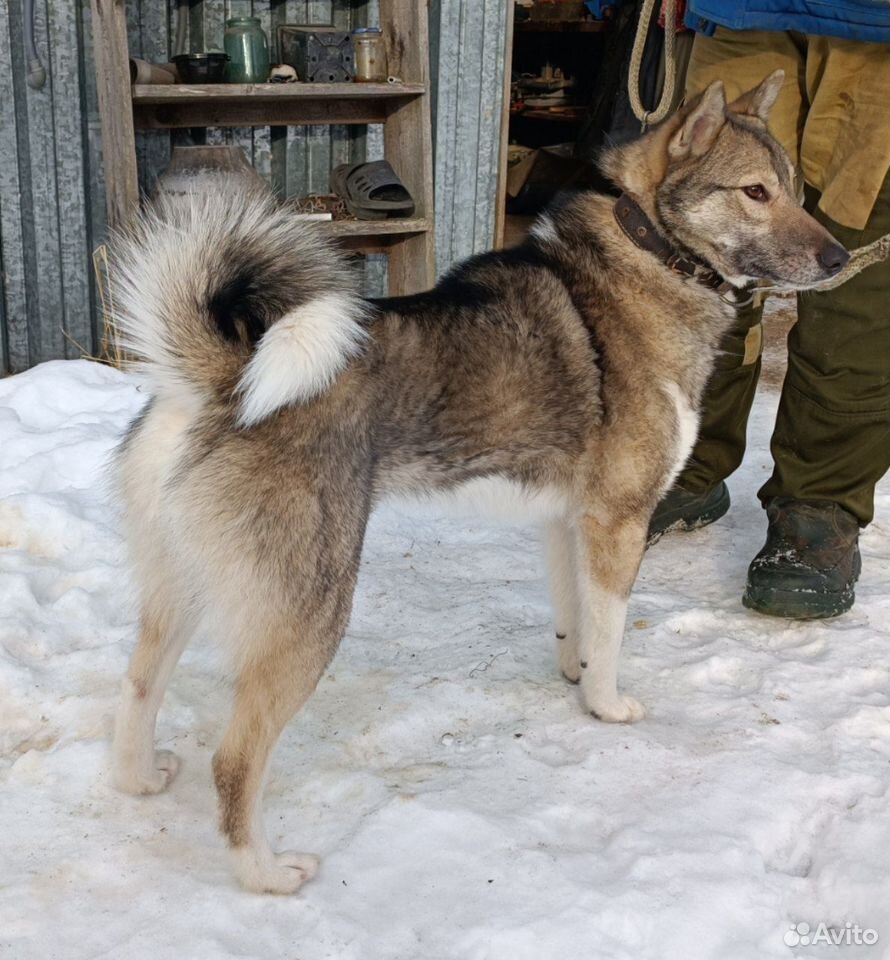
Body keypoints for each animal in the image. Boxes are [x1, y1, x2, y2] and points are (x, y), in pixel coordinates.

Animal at [111, 71, 848, 896]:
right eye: (754, 192)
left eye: (796, 190)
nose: (842, 256)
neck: (649, 253)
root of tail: (222, 381)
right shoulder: (618, 521)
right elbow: (612, 629)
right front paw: (607, 705)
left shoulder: (567, 522)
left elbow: (575, 618)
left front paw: (573, 676)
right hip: (308, 611)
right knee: (235, 760)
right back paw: (266, 873)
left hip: (179, 590)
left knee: (137, 686)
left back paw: (138, 779)